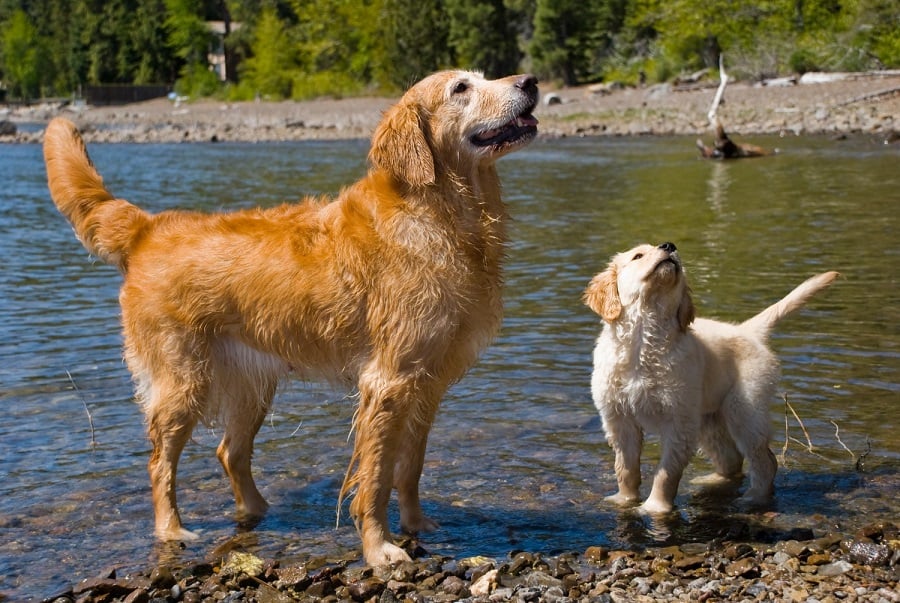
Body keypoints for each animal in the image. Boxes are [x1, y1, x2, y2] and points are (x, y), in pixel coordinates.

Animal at [44, 71, 536, 568]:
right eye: (461, 88)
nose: (529, 82)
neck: (440, 213)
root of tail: (148, 227)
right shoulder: (389, 381)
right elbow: (376, 476)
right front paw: (379, 548)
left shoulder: (427, 384)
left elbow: (409, 467)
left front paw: (417, 525)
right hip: (184, 381)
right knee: (160, 461)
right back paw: (173, 530)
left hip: (252, 386)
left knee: (230, 452)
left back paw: (259, 510)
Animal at [584, 244, 836, 516]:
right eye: (638, 256)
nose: (669, 245)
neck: (642, 342)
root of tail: (747, 330)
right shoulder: (619, 419)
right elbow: (626, 468)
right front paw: (624, 500)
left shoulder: (679, 422)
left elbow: (666, 473)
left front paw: (655, 508)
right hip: (709, 419)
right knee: (731, 459)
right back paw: (713, 481)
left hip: (743, 409)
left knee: (765, 461)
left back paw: (753, 498)